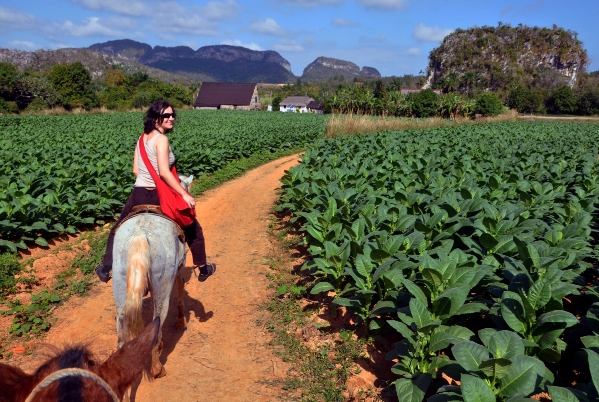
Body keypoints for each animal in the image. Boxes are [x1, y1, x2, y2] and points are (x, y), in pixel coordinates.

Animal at [112, 175, 192, 380]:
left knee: (121, 330)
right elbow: (180, 288)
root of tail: (140, 234)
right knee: (157, 319)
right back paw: (157, 367)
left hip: (120, 283)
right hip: (161, 285)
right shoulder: (178, 271)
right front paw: (180, 320)